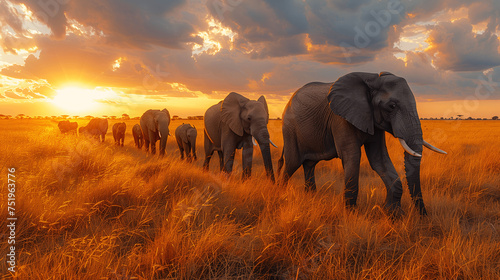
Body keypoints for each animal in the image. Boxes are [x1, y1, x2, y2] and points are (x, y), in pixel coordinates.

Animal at [278, 72, 446, 214]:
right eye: (392, 106)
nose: (424, 216)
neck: (372, 79)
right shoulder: (340, 118)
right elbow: (352, 156)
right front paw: (351, 214)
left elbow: (379, 159)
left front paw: (393, 214)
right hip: (290, 129)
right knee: (292, 163)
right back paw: (279, 195)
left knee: (309, 164)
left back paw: (311, 197)